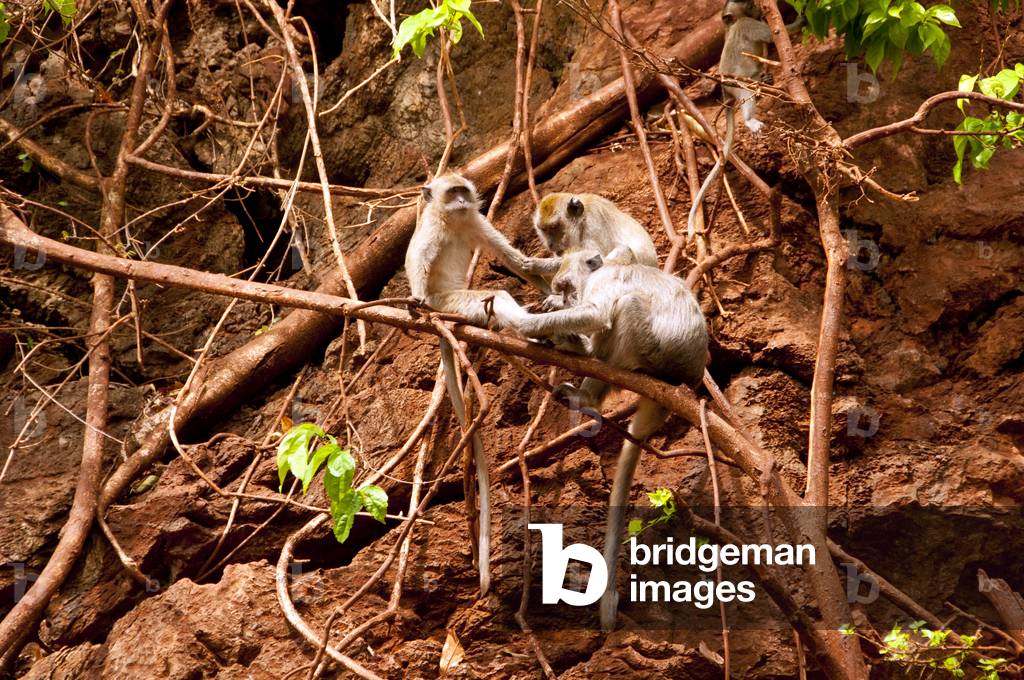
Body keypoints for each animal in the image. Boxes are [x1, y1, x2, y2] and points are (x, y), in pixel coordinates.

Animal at [405, 172, 545, 596]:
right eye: (452, 194)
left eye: (463, 191)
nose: (463, 201)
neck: (452, 222)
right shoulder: (431, 228)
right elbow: (417, 262)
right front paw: (414, 301)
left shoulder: (475, 221)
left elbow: (517, 262)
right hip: (450, 302)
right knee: (492, 295)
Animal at [511, 249, 709, 631]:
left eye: (568, 286)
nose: (565, 296)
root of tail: (682, 380)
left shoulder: (604, 283)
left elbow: (597, 314)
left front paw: (529, 325)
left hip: (649, 354)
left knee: (626, 309)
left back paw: (584, 360)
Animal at [686, 0, 804, 241]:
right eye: (749, 5)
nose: (758, 9)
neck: (733, 24)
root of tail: (725, 92)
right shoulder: (749, 24)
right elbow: (772, 35)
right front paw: (800, 18)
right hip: (737, 86)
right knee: (747, 92)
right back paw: (750, 119)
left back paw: (764, 79)